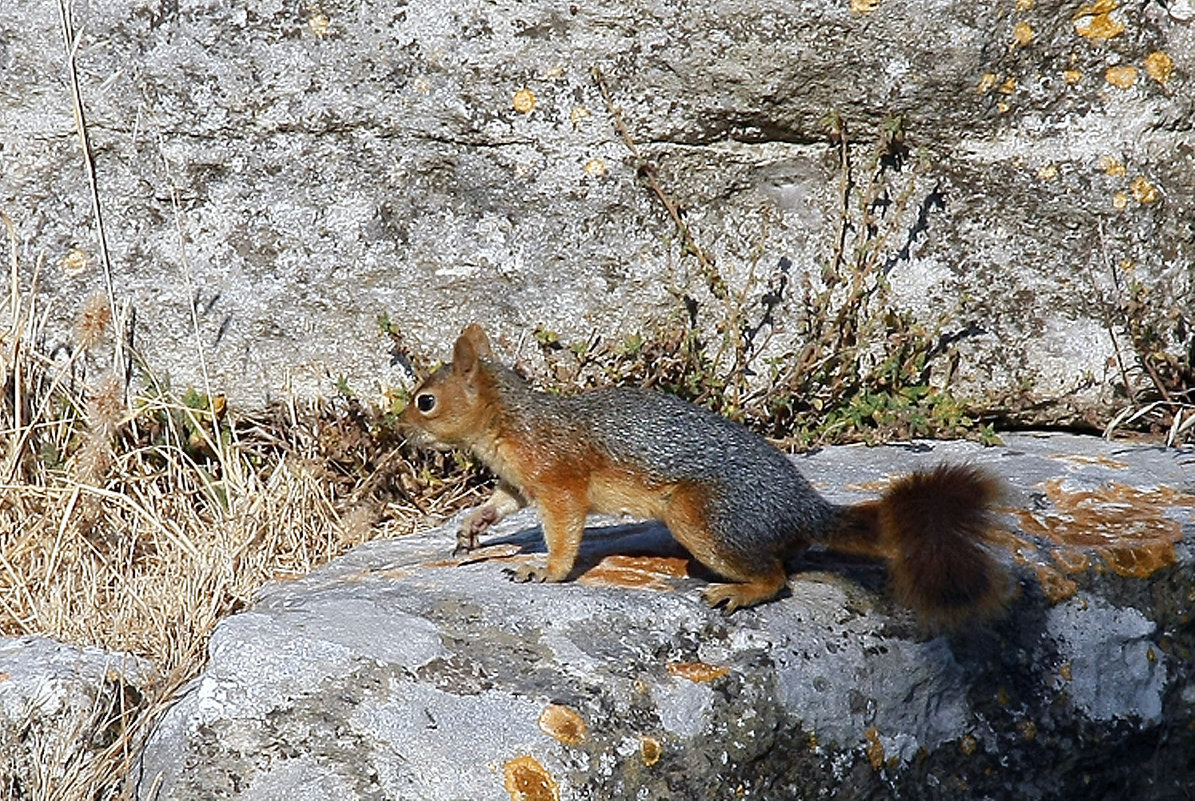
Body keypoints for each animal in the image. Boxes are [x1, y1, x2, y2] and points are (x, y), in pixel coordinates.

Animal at [403, 325, 1008, 626]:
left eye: (425, 401)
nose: (401, 429)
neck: (512, 422)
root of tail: (802, 506)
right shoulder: (518, 482)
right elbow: (500, 504)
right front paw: (470, 527)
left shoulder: (558, 478)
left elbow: (564, 531)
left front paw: (544, 570)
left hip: (701, 516)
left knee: (776, 576)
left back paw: (735, 594)